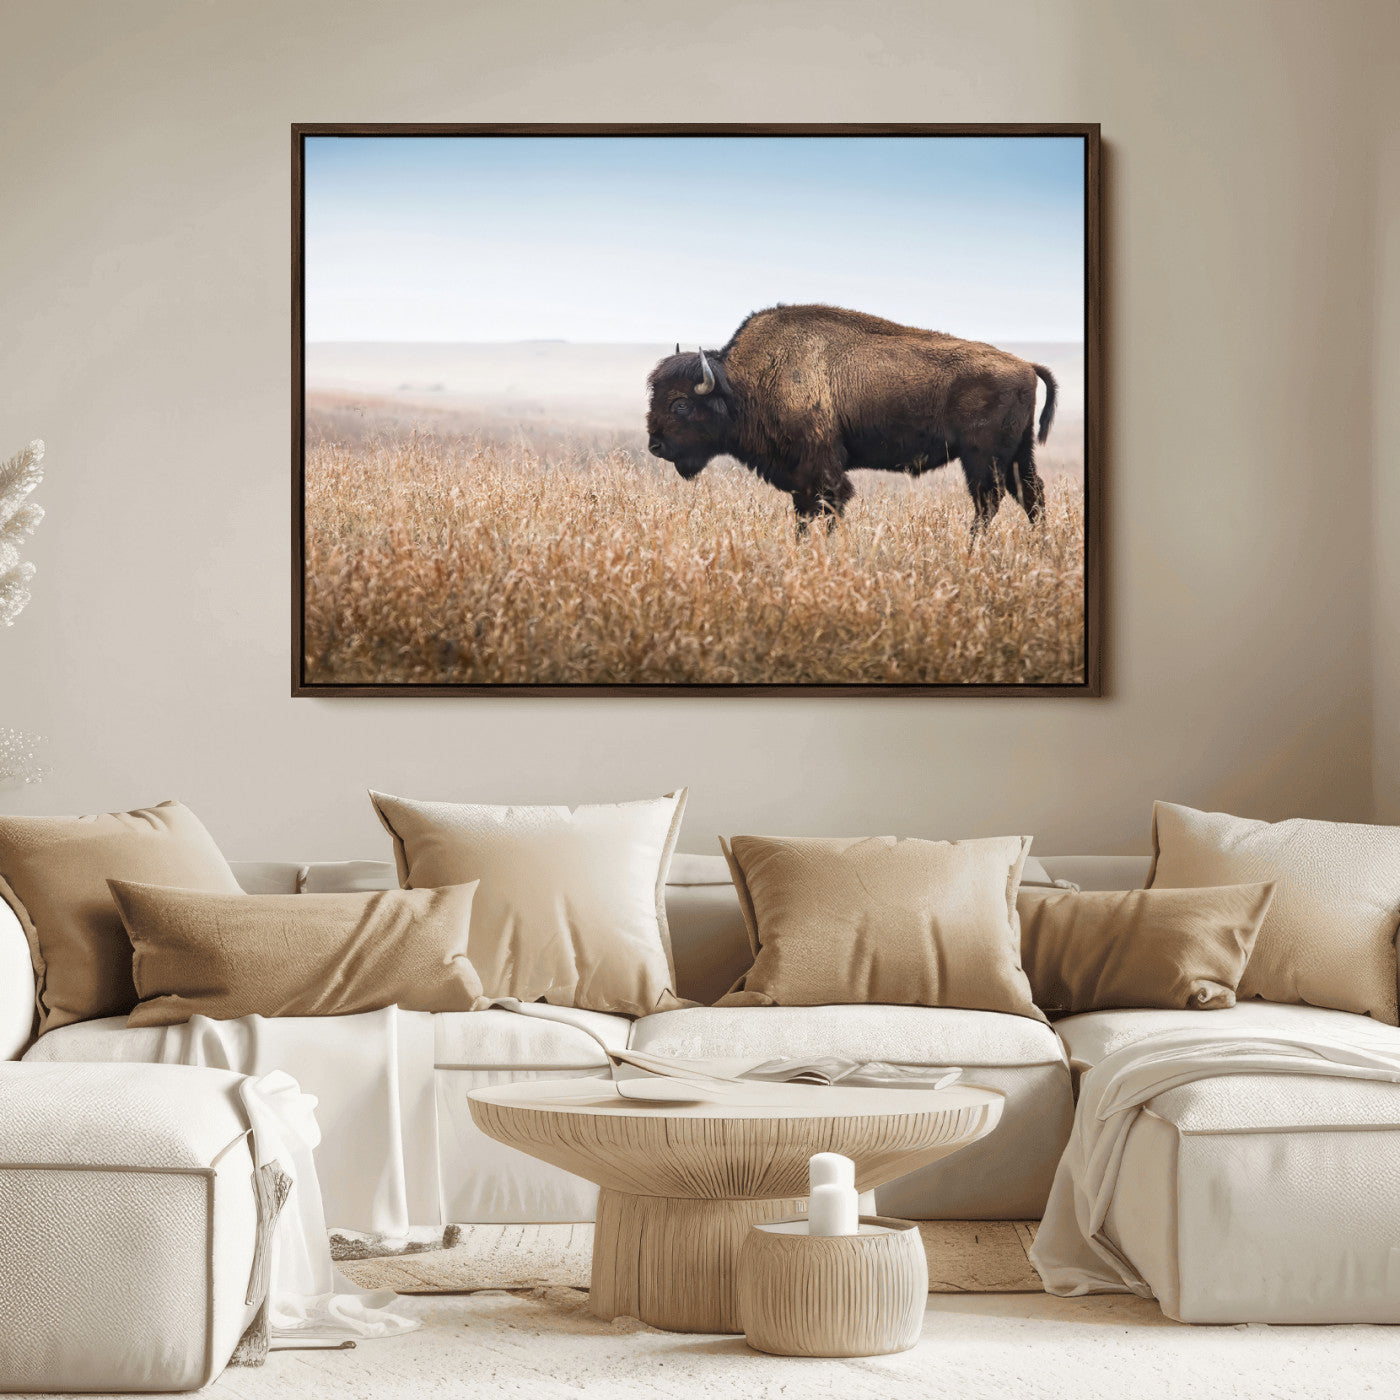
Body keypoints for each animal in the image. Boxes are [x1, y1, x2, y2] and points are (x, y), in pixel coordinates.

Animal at [646, 304, 1057, 536]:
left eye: (680, 404)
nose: (655, 445)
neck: (744, 383)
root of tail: (1025, 365)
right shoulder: (800, 477)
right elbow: (804, 514)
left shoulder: (822, 468)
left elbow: (829, 507)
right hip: (1018, 454)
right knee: (1031, 495)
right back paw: (1039, 548)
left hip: (982, 458)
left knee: (989, 501)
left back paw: (973, 549)